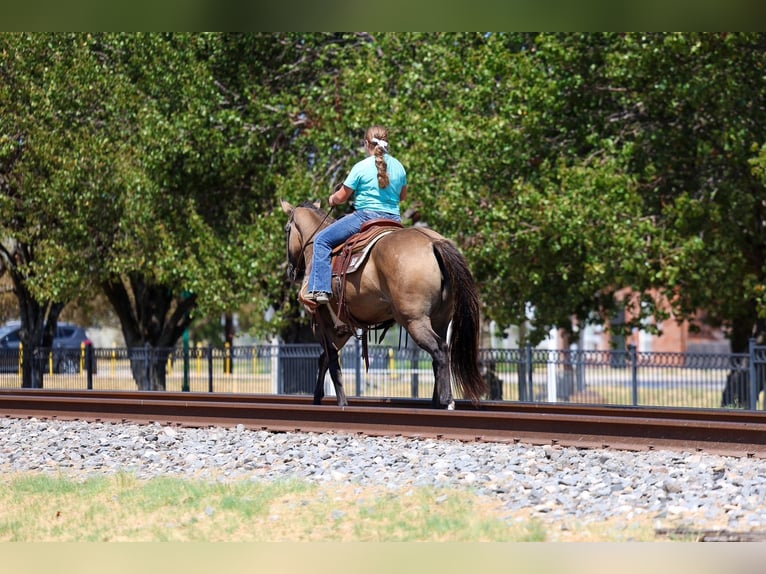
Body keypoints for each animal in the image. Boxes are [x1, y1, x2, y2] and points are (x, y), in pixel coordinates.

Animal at [281, 199, 487, 409]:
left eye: (287, 229)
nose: (292, 271)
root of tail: (433, 242)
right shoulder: (342, 329)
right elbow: (325, 359)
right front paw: (317, 398)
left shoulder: (323, 322)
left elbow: (331, 362)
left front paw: (341, 402)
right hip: (440, 320)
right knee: (439, 354)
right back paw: (437, 402)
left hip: (414, 321)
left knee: (440, 350)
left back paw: (446, 401)